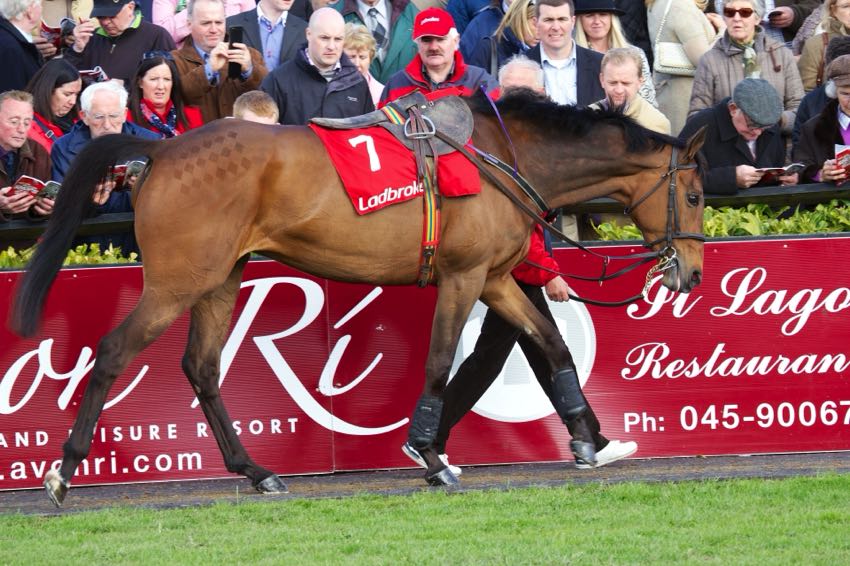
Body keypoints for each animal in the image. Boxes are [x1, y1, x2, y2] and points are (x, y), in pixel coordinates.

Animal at [11, 91, 706, 507]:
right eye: (696, 195)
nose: (692, 274)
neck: (496, 157)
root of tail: (160, 149)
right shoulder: (462, 277)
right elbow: (440, 360)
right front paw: (431, 455)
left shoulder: (495, 278)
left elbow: (551, 342)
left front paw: (589, 439)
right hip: (176, 282)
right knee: (112, 352)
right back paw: (64, 469)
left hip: (222, 280)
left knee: (202, 367)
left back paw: (255, 470)